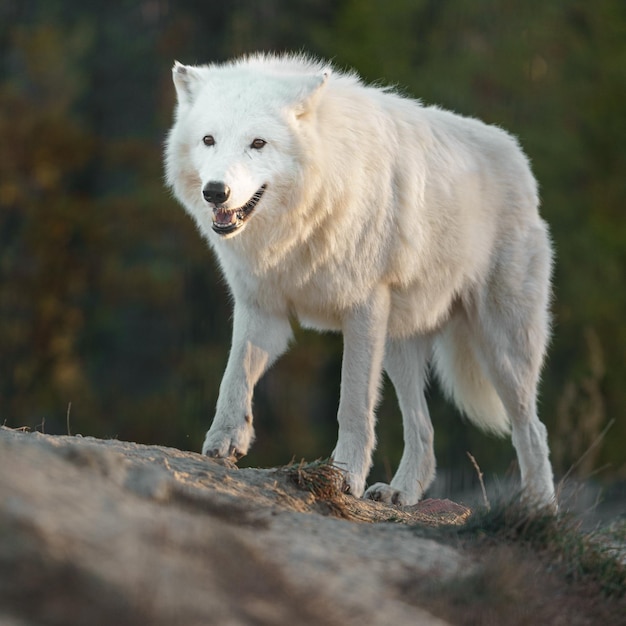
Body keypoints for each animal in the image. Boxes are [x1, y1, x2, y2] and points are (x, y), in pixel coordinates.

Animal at [163, 51, 552, 504]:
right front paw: (225, 441)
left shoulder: (362, 309)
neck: (301, 222)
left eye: (258, 143)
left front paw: (345, 477)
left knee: (531, 428)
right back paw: (400, 493)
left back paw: (539, 509)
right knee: (424, 431)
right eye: (208, 140)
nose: (215, 191)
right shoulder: (261, 307)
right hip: (400, 347)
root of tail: (517, 154)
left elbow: (351, 404)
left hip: (502, 347)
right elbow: (235, 374)